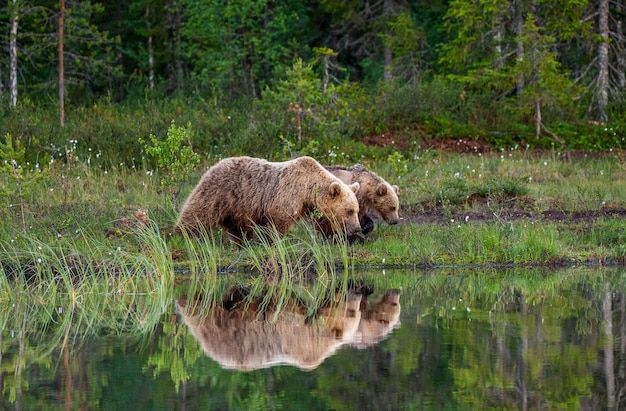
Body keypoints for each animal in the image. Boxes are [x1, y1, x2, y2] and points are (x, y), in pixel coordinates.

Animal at [176, 156, 360, 243]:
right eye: (349, 211)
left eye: (356, 210)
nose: (358, 228)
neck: (307, 187)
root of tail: (215, 165)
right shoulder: (287, 194)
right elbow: (279, 221)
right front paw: (273, 240)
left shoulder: (311, 205)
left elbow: (323, 221)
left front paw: (330, 236)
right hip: (218, 192)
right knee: (198, 213)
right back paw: (182, 234)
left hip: (237, 206)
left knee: (237, 227)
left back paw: (242, 242)